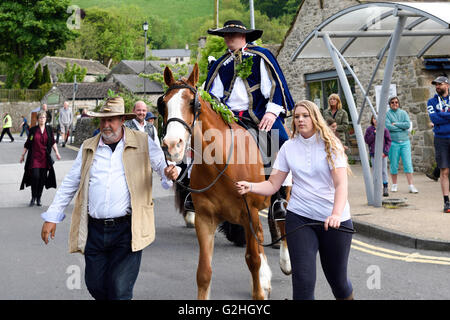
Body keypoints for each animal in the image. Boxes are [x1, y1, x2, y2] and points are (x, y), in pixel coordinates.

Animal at [161, 63, 274, 298]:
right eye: (163, 103)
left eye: (193, 103)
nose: (172, 145)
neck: (221, 165)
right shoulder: (205, 219)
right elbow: (203, 272)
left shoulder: (249, 214)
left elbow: (253, 260)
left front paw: (259, 290)